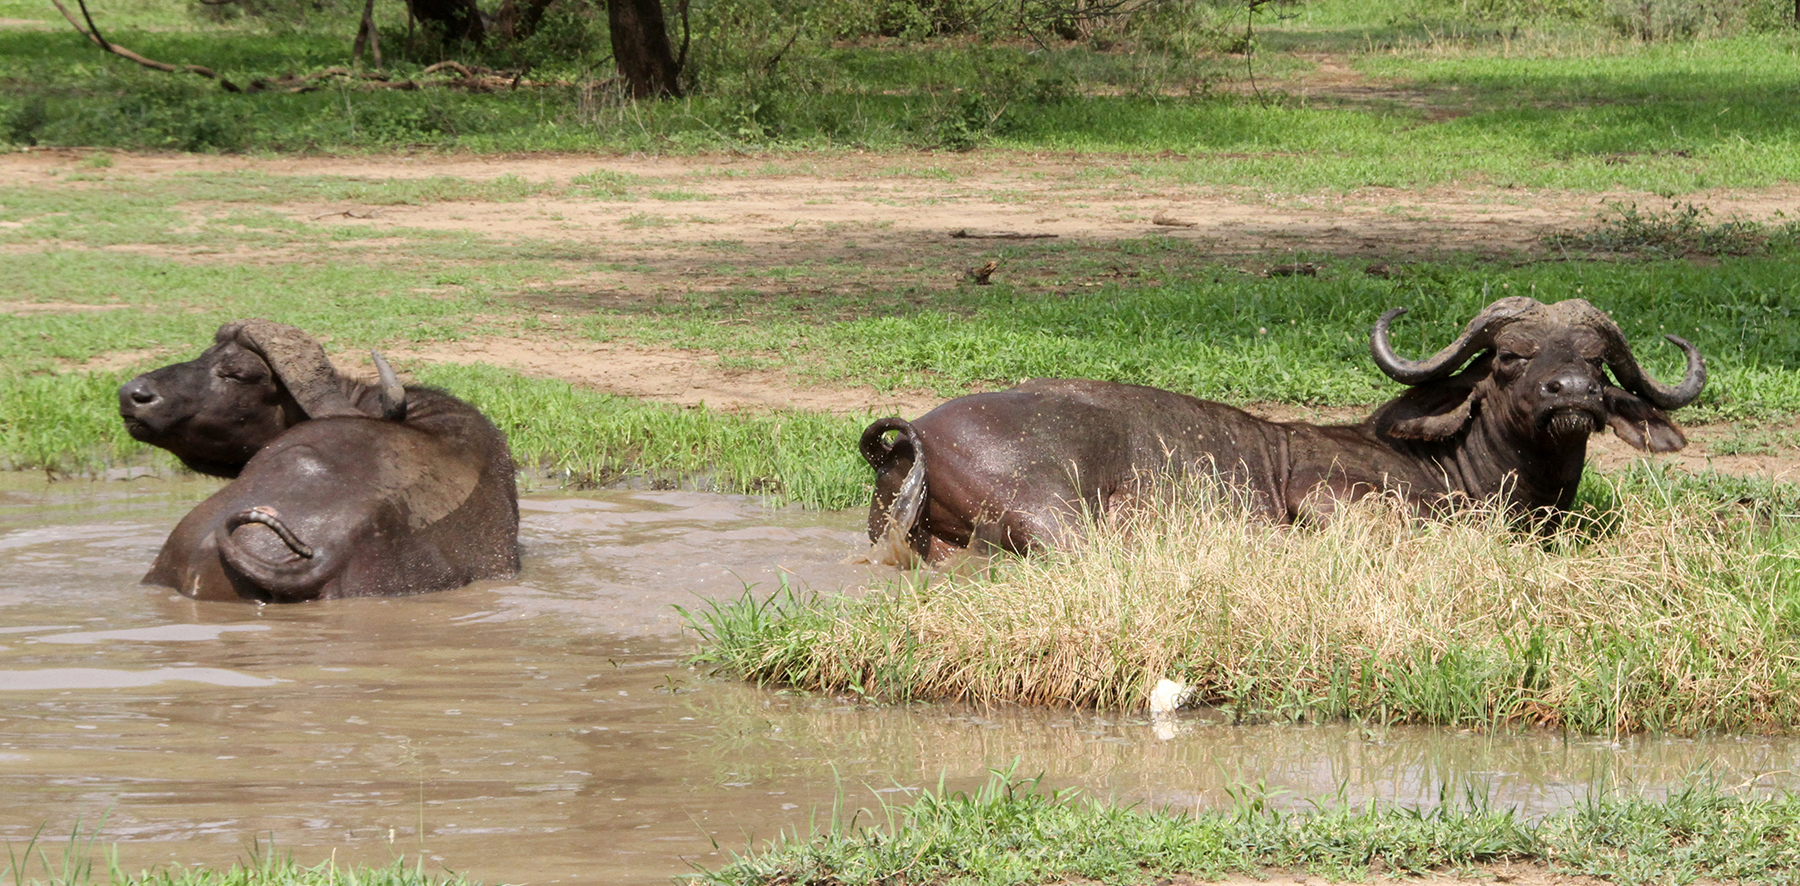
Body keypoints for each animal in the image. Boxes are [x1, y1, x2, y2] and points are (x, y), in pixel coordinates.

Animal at [864, 295, 1706, 561]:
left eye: (1596, 361)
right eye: (1509, 357)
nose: (1572, 394)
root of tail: (917, 436)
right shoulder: (1324, 491)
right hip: (1052, 513)